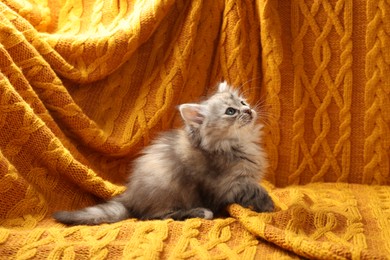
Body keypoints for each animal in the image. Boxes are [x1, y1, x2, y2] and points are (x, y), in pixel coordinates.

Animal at [53, 82, 274, 224]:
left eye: (243, 103)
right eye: (230, 111)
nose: (249, 111)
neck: (239, 143)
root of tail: (130, 196)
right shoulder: (230, 184)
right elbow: (257, 191)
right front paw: (271, 206)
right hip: (169, 188)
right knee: (156, 216)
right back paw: (201, 212)